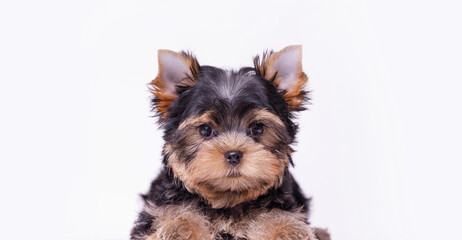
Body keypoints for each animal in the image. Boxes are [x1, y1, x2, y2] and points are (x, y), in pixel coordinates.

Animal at [132, 45, 330, 240]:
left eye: (257, 128)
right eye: (205, 130)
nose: (233, 155)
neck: (229, 201)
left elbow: (276, 214)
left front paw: (286, 230)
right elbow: (177, 211)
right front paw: (180, 228)